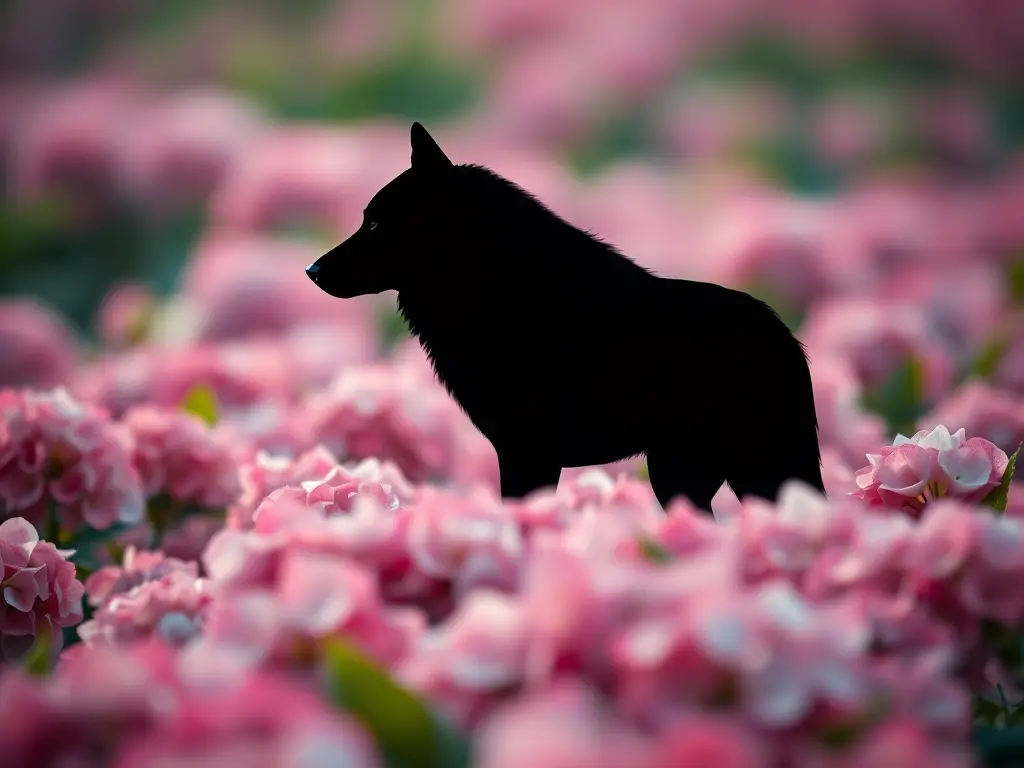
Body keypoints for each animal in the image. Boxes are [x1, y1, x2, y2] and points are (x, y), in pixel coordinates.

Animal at [306, 122, 825, 512]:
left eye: (375, 224)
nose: (312, 270)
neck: (499, 289)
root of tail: (788, 341)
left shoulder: (528, 451)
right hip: (689, 473)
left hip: (736, 468)